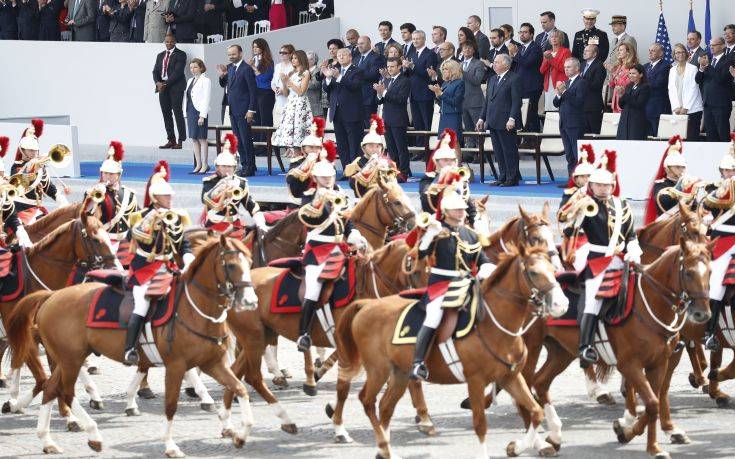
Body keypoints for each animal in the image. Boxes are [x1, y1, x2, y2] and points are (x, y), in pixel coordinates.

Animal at [5, 235, 258, 458]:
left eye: (250, 263)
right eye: (232, 265)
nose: (251, 301)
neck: (194, 309)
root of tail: (52, 295)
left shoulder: (212, 364)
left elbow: (240, 388)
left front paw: (241, 433)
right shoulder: (176, 366)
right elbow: (171, 405)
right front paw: (170, 446)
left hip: (66, 359)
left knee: (50, 388)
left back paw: (47, 440)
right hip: (71, 360)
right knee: (65, 392)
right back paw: (93, 434)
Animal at [332, 246, 568, 458]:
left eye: (552, 268)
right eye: (533, 272)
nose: (562, 304)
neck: (493, 325)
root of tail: (366, 304)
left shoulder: (510, 377)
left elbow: (536, 411)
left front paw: (518, 446)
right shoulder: (476, 381)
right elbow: (480, 424)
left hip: (399, 374)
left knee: (385, 407)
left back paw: (385, 451)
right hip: (378, 370)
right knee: (367, 401)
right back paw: (381, 445)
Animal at [524, 239, 712, 458]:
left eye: (710, 271)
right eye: (689, 272)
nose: (702, 314)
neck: (648, 305)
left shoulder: (658, 363)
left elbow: (654, 402)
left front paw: (642, 440)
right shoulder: (630, 365)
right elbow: (652, 403)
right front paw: (640, 437)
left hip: (560, 353)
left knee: (541, 382)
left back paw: (554, 437)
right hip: (530, 349)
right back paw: (535, 440)